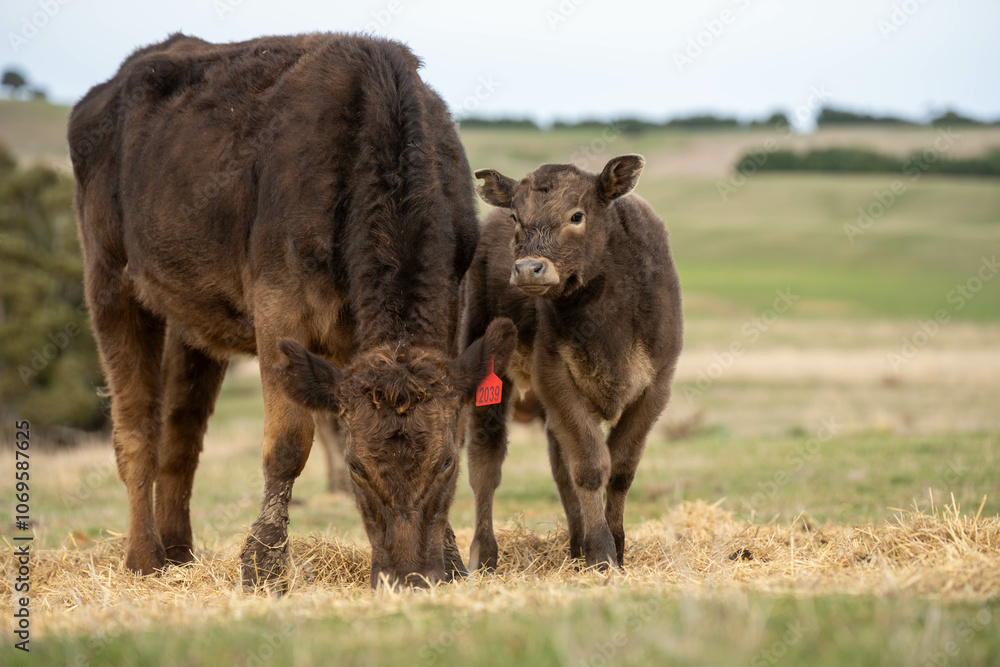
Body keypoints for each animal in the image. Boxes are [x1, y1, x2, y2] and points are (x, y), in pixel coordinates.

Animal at [68, 32, 516, 590]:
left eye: (445, 466)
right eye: (356, 469)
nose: (407, 577)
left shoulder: (451, 304)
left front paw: (453, 560)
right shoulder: (277, 303)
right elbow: (287, 443)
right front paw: (263, 564)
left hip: (194, 316)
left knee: (181, 432)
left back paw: (180, 554)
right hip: (109, 278)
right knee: (136, 429)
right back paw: (144, 559)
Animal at [460, 155, 683, 571]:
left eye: (577, 215)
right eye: (516, 216)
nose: (528, 268)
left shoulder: (655, 388)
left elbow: (620, 469)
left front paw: (616, 544)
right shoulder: (556, 379)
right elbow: (592, 467)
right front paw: (601, 550)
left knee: (560, 468)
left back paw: (574, 545)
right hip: (488, 367)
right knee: (486, 464)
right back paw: (485, 553)